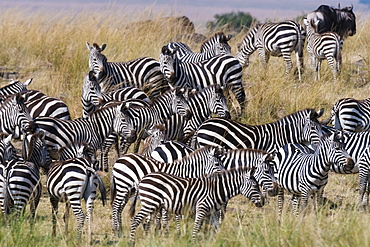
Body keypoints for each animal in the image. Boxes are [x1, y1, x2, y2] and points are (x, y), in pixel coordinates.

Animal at [130, 167, 264, 244]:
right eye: (254, 186)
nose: (262, 202)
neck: (216, 190)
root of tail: (142, 178)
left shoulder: (212, 212)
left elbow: (214, 228)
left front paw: (215, 241)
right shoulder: (201, 208)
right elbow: (196, 227)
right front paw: (193, 242)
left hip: (154, 206)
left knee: (148, 223)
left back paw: (149, 240)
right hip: (149, 203)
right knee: (136, 220)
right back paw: (132, 242)